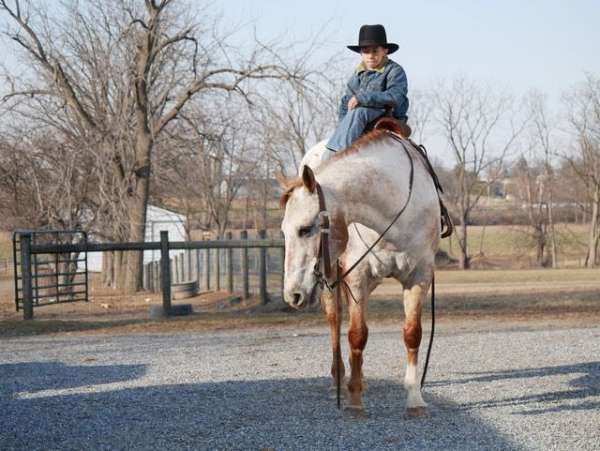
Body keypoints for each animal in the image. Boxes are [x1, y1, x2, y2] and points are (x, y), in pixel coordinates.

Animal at [278, 131, 438, 416]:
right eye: (284, 231)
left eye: (305, 229)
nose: (293, 295)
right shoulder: (357, 278)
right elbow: (356, 335)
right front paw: (354, 399)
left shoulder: (419, 276)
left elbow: (412, 333)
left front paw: (414, 398)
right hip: (329, 279)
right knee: (335, 321)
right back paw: (340, 378)